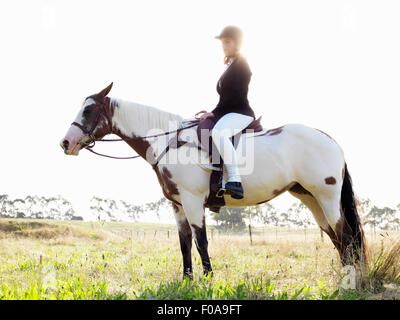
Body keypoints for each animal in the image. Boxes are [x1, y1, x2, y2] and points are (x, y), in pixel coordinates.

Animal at [60, 82, 366, 278]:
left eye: (88, 111)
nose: (65, 143)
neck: (170, 141)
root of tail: (329, 140)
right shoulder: (178, 205)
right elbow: (184, 244)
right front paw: (187, 281)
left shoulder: (193, 201)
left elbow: (201, 242)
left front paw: (208, 280)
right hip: (310, 198)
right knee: (337, 238)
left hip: (326, 197)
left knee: (345, 236)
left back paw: (348, 281)